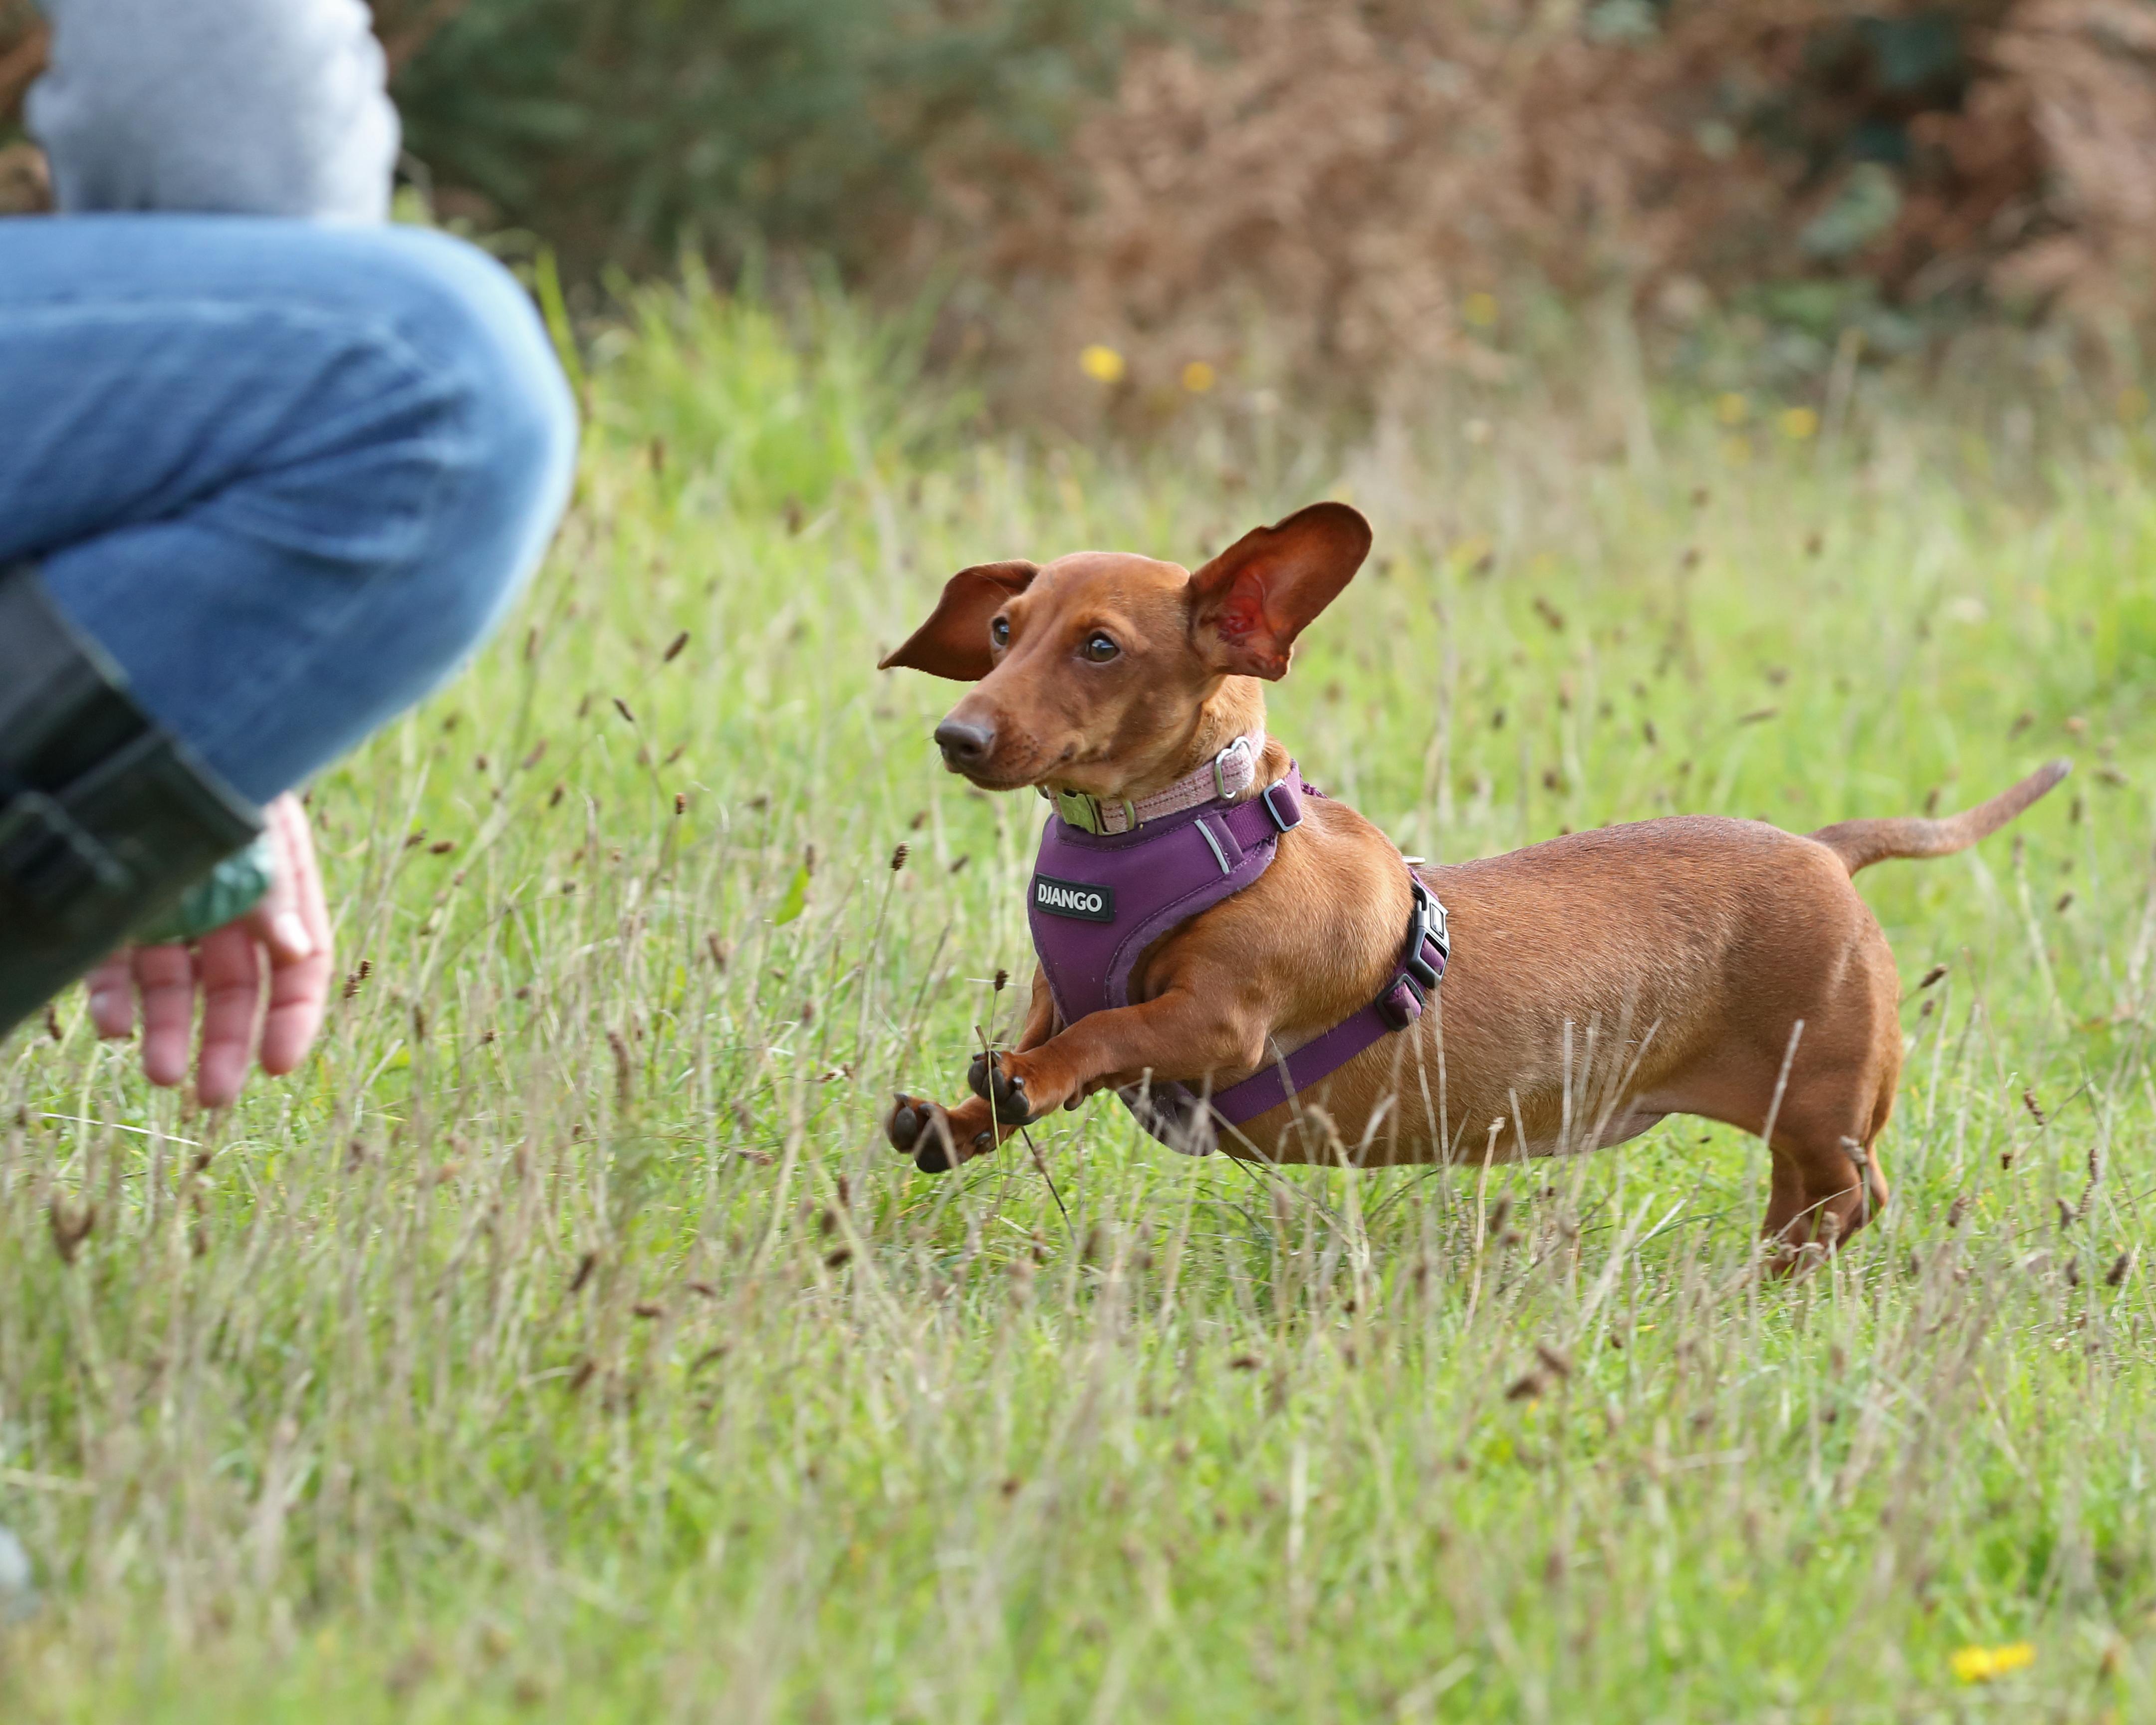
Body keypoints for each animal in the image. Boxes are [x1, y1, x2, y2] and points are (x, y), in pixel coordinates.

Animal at [879, 504, 2070, 1250]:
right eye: (1002, 628)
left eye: (1100, 647)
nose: (956, 736)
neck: (1160, 836)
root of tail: (1827, 849)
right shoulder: (1053, 995)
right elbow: (1040, 1050)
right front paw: (958, 1117)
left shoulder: (1219, 1024)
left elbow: (1104, 1034)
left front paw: (1029, 1079)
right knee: (1810, 1202)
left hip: (1821, 1106)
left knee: (1850, 1193)